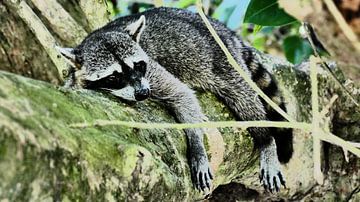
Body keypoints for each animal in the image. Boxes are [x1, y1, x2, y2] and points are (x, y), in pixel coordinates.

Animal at [56, 6, 292, 193]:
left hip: (225, 59)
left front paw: (197, 146)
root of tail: (224, 30)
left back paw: (266, 140)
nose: (143, 93)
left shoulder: (152, 71)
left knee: (243, 97)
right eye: (114, 77)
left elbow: (182, 94)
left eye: (138, 65)